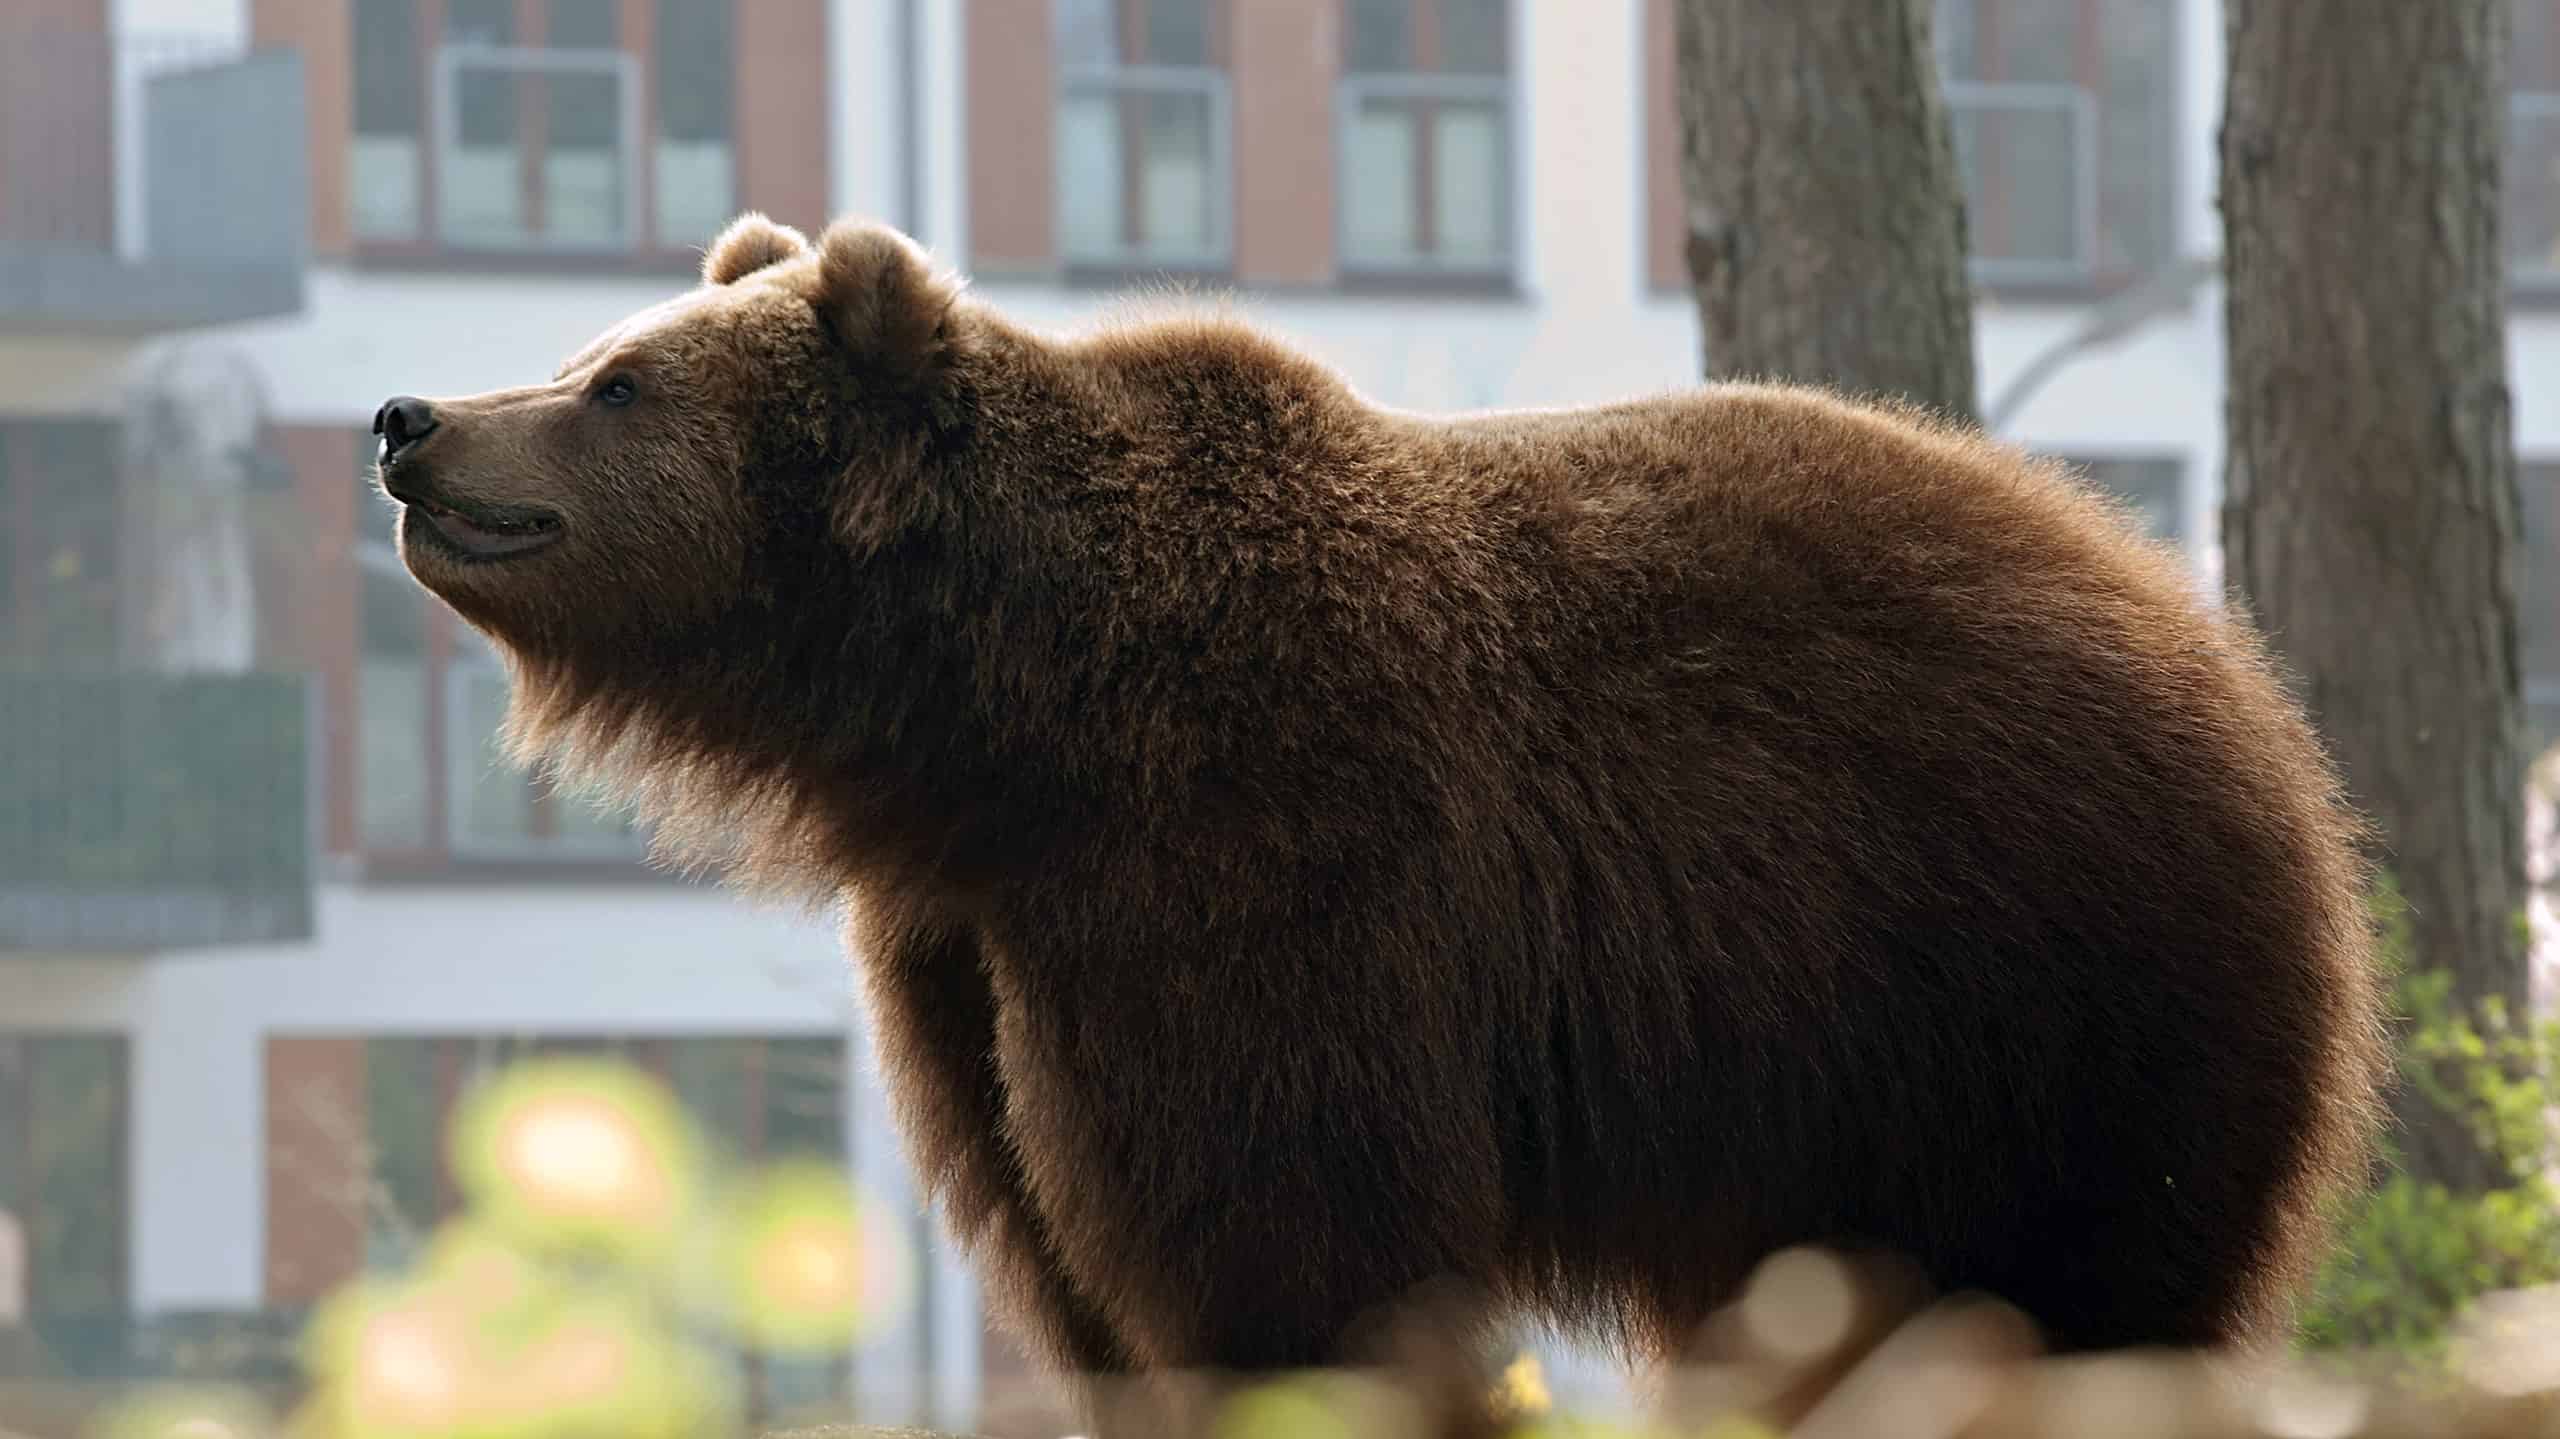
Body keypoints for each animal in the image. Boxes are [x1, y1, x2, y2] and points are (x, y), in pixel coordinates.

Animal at [372, 210, 2388, 1421]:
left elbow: (1282, 1226)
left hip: (2028, 979)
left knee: (2075, 1279)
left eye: (618, 378)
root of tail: (2211, 641)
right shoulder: (971, 944)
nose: (411, 416)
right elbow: (1072, 1254)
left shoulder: (1263, 852)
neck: (1003, 710)